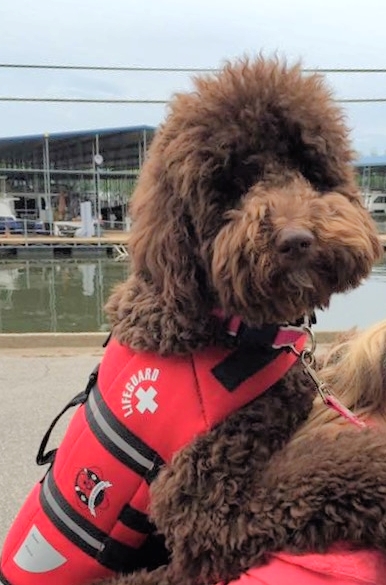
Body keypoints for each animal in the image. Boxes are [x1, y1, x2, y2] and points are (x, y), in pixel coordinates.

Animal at [96, 56, 382, 584]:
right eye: (231, 186)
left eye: (306, 167)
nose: (296, 239)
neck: (228, 329)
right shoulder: (205, 508)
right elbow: (326, 470)